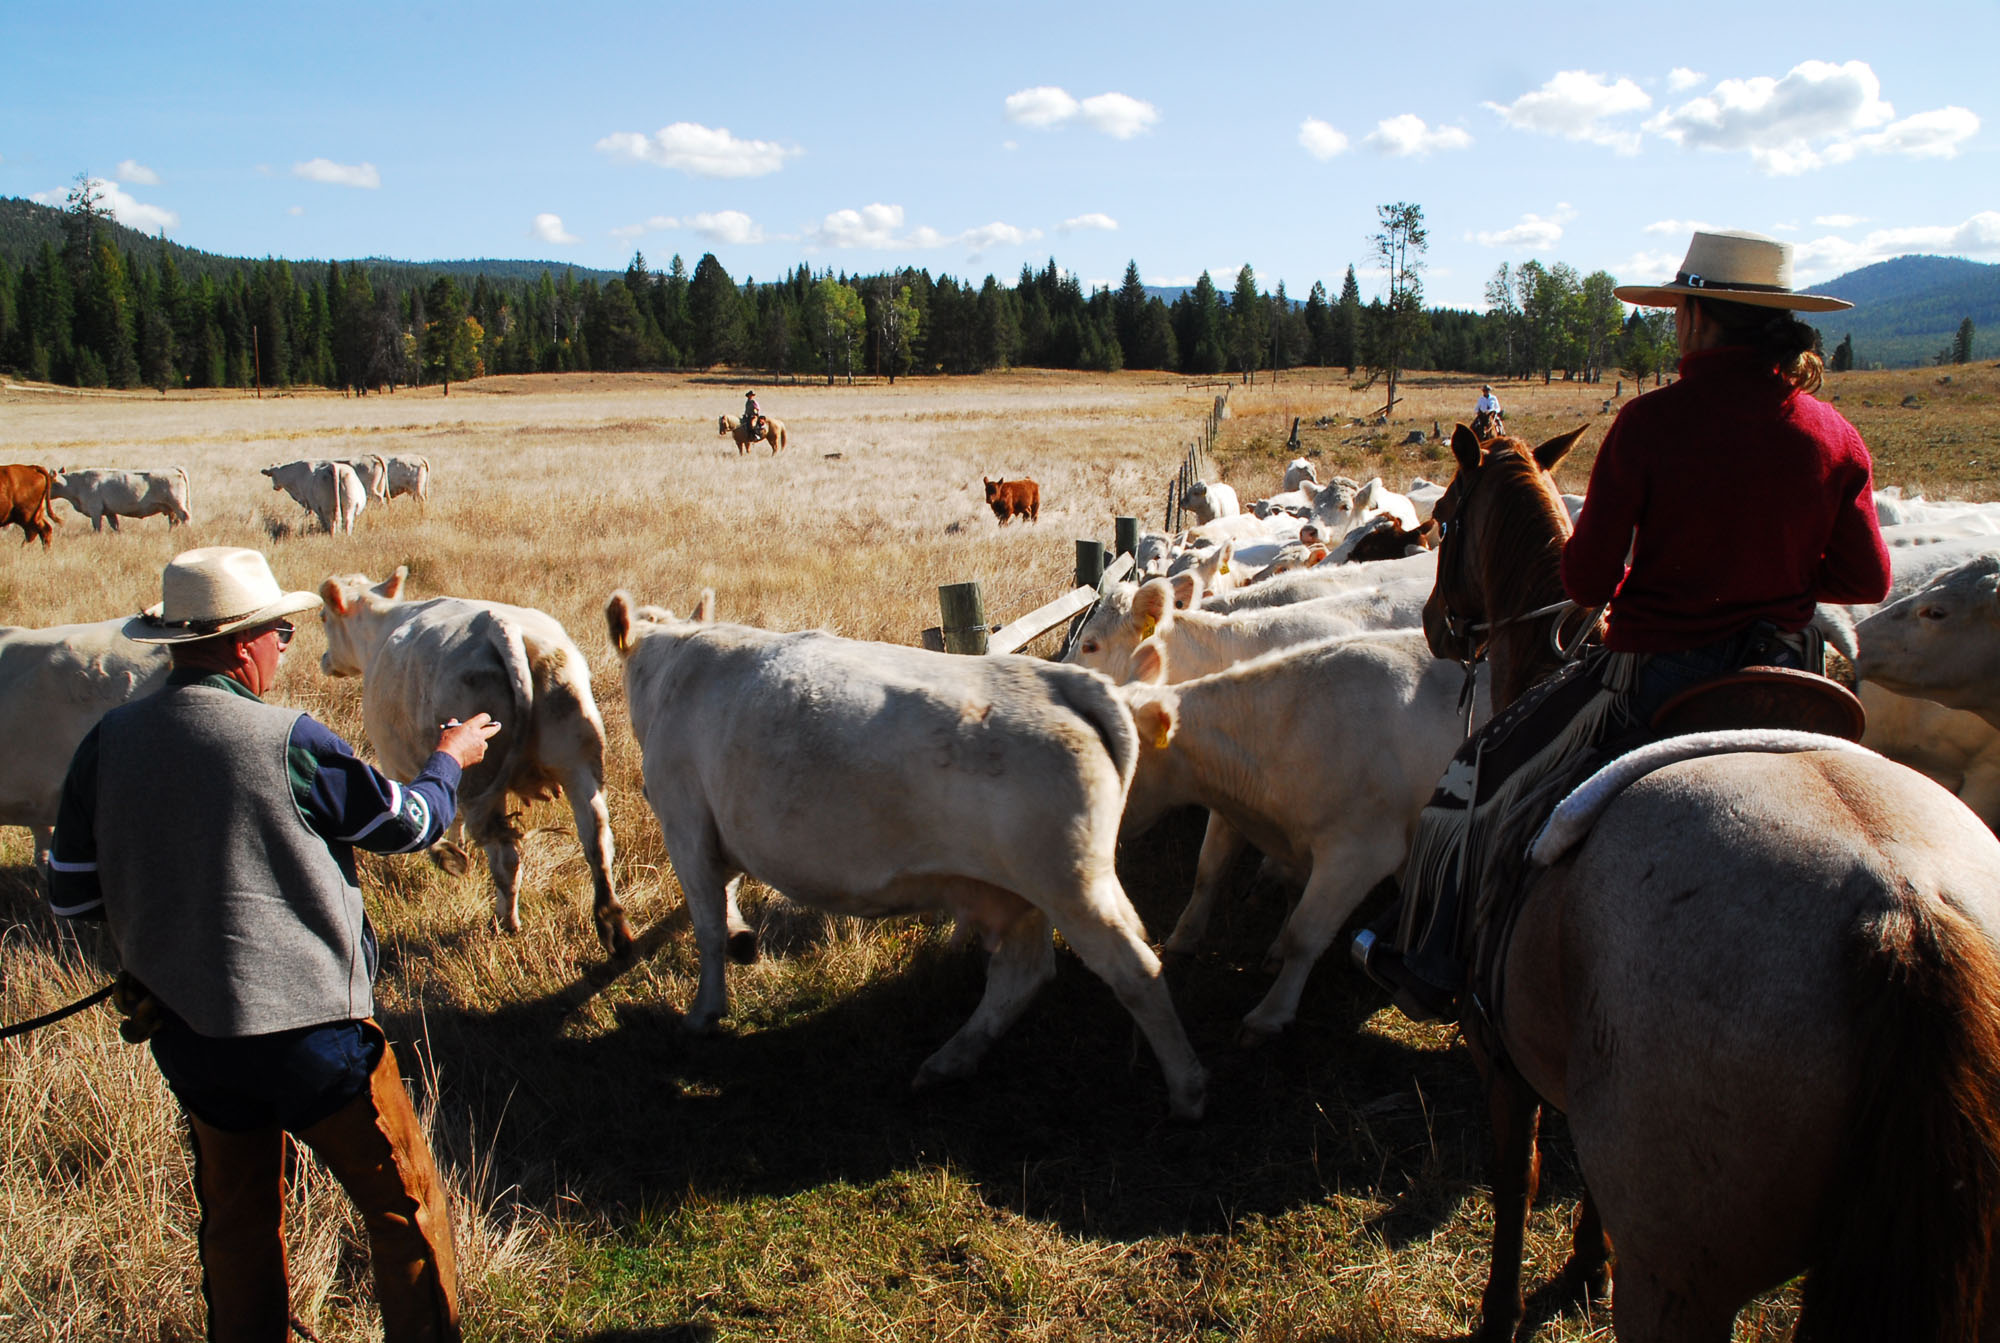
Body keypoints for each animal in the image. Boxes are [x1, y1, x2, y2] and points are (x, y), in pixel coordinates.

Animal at [48, 467, 191, 532]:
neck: (78, 483)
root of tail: (173, 468)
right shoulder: (110, 512)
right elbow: (115, 526)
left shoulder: (95, 510)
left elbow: (97, 527)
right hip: (170, 508)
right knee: (174, 521)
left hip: (177, 504)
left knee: (185, 517)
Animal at [318, 569, 635, 954]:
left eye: (323, 617)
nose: (324, 659)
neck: (381, 625)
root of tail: (502, 627)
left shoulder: (396, 764)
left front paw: (448, 854)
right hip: (579, 762)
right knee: (597, 841)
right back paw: (612, 926)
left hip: (484, 784)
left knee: (505, 856)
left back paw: (503, 922)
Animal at [605, 589, 1206, 1118]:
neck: (675, 660)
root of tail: (1062, 680)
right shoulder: (714, 824)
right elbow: (724, 897)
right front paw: (740, 939)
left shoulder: (683, 821)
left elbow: (705, 924)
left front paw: (704, 1011)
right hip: (1022, 888)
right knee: (1023, 972)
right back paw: (950, 1060)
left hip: (1069, 886)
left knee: (1136, 971)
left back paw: (1187, 1087)